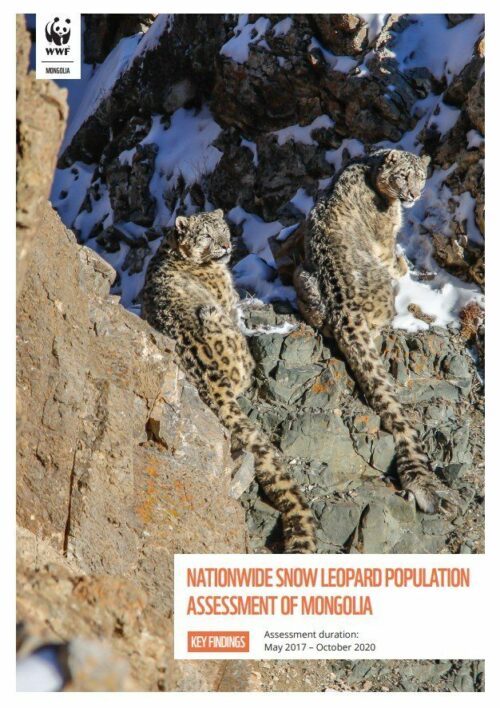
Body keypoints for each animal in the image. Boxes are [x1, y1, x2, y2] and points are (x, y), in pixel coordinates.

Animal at [142, 209, 316, 552]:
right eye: (206, 236)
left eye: (223, 229)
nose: (224, 245)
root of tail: (212, 382)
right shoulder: (228, 302)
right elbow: (242, 314)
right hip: (216, 319)